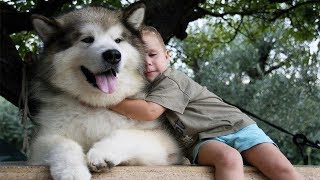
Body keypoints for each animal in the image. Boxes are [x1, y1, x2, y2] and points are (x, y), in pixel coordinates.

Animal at [27, 2, 181, 179]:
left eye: (118, 40)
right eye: (87, 39)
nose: (113, 55)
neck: (97, 104)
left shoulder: (165, 143)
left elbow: (127, 134)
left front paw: (101, 152)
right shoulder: (40, 143)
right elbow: (63, 143)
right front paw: (73, 171)